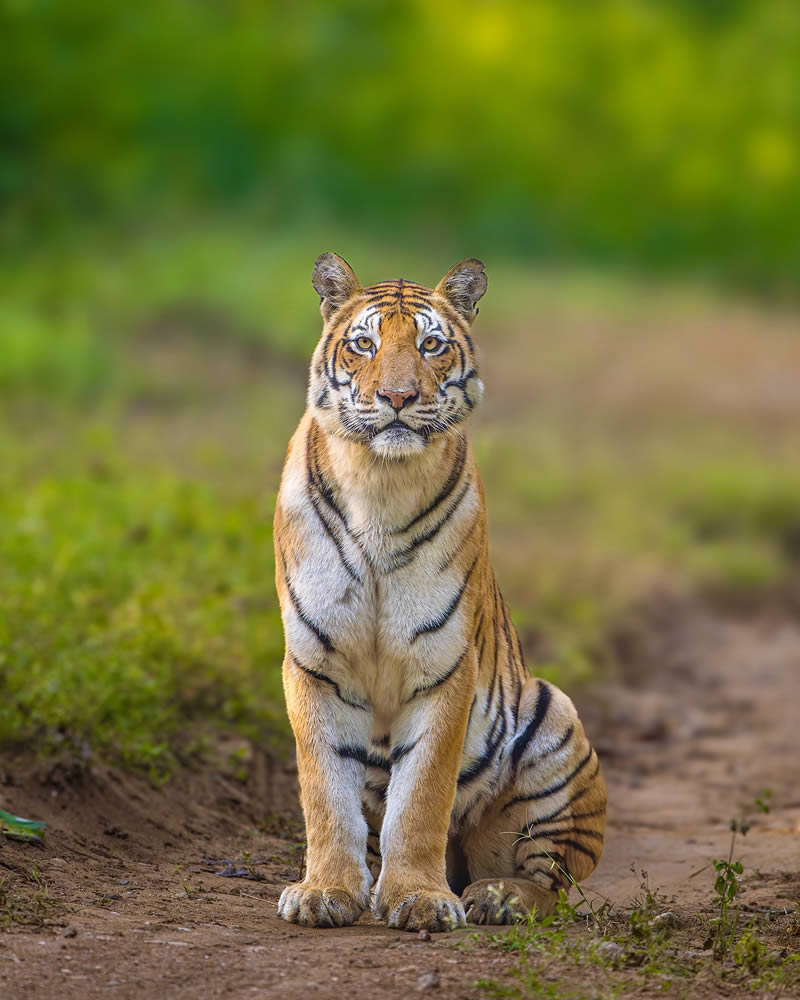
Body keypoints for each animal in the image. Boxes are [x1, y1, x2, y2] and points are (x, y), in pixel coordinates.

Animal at [276, 254, 608, 932]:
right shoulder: (313, 665)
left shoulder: (444, 666)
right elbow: (325, 794)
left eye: (431, 345)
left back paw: (497, 896)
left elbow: (422, 797)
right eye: (364, 344)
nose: (399, 397)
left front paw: (419, 898)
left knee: (552, 884)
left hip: (553, 718)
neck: (379, 481)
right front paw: (326, 891)